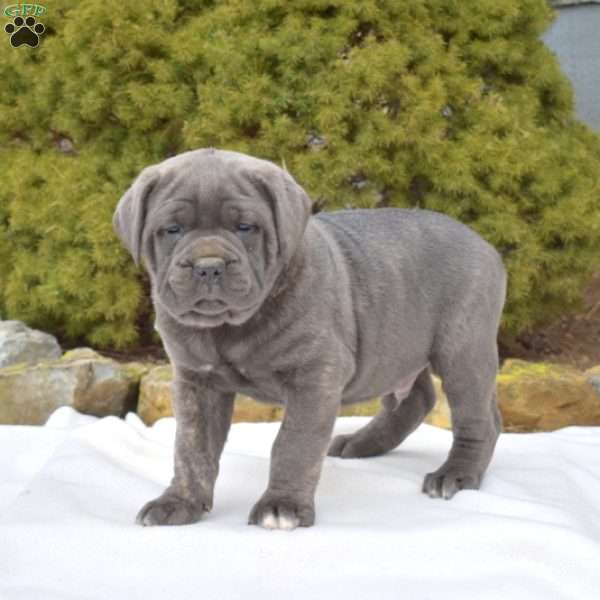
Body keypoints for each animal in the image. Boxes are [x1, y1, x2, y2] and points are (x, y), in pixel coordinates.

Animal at [113, 150, 506, 528]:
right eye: (172, 229)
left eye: (245, 227)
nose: (209, 265)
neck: (229, 327)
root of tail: (486, 245)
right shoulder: (197, 381)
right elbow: (191, 448)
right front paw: (179, 502)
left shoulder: (315, 376)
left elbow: (293, 442)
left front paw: (281, 506)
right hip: (396, 350)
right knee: (416, 399)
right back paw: (360, 443)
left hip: (462, 351)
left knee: (479, 419)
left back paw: (455, 474)